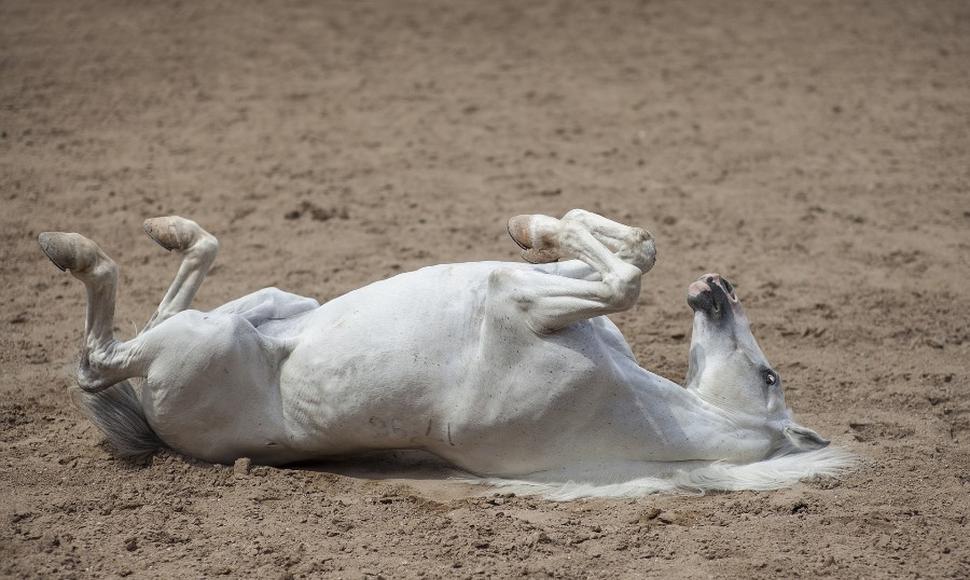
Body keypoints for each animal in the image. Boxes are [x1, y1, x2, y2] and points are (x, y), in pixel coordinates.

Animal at [38, 209, 853, 498]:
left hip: (202, 342)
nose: (719, 288)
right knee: (175, 289)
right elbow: (627, 254)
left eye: (770, 374)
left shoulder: (522, 303)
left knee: (100, 358)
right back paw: (167, 228)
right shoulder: (542, 291)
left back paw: (70, 247)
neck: (638, 406)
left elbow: (624, 278)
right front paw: (535, 225)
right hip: (264, 306)